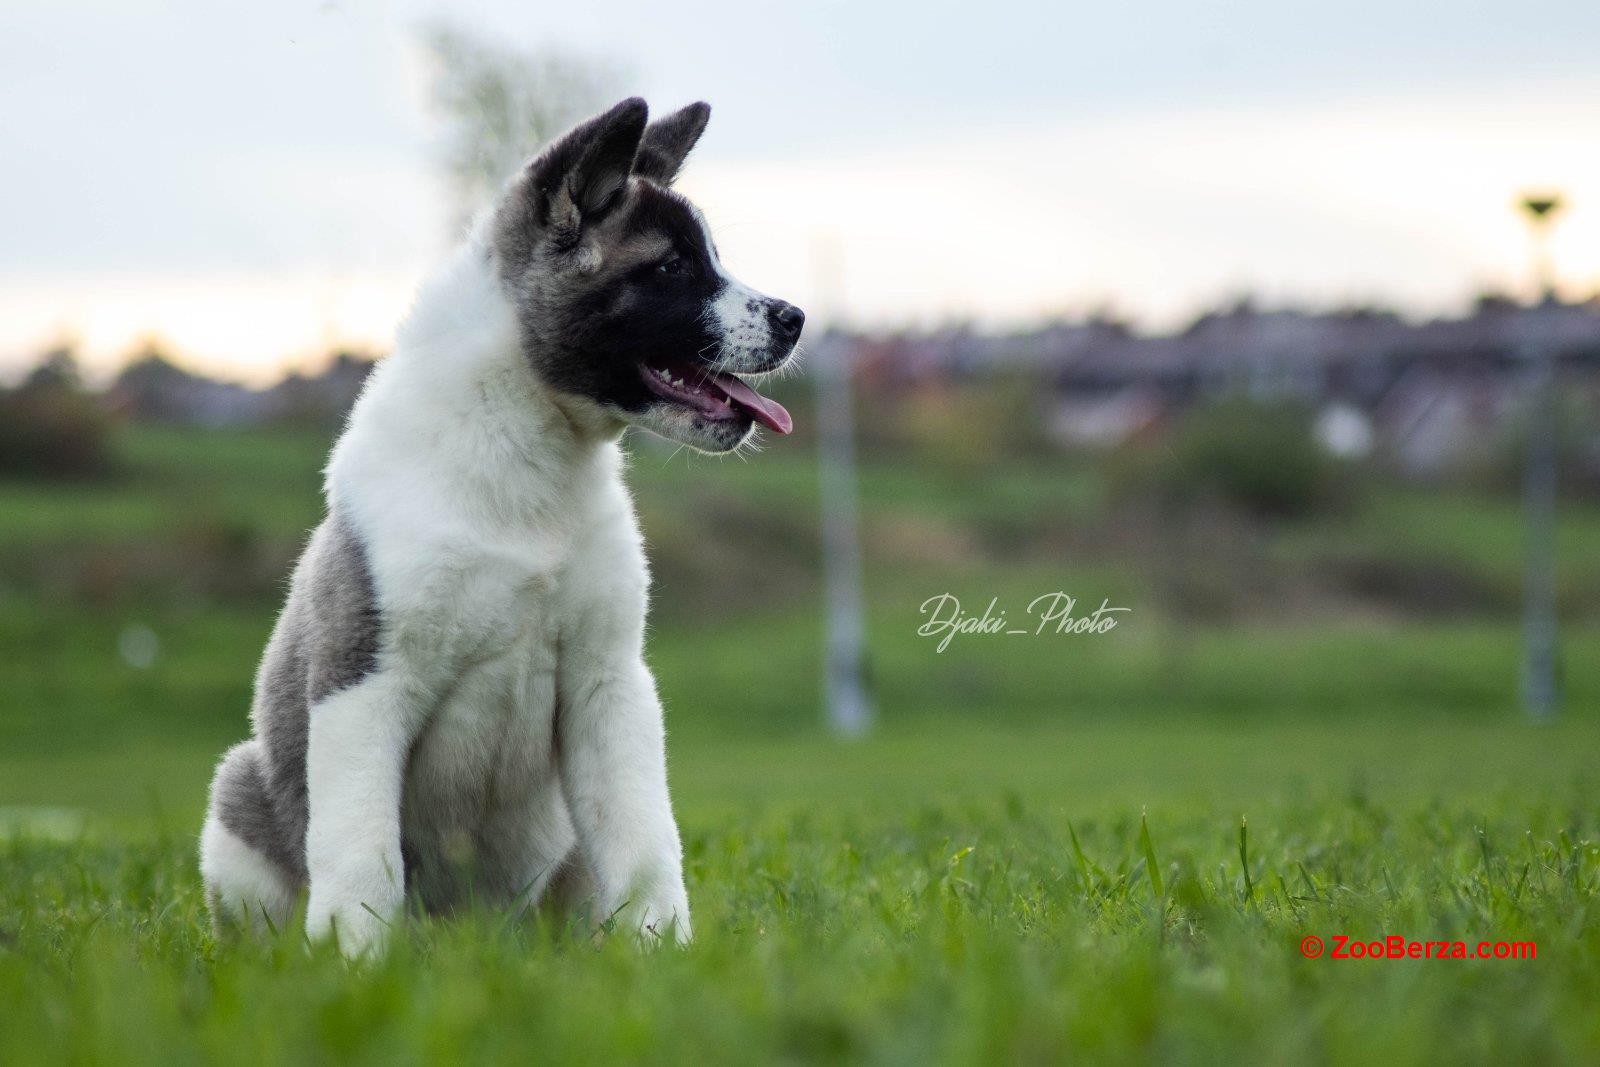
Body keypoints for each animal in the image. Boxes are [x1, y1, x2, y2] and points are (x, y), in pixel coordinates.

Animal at [200, 97, 800, 953]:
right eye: (670, 269)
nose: (795, 317)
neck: (531, 447)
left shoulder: (609, 685)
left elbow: (646, 840)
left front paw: (662, 950)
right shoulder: (363, 681)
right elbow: (362, 852)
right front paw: (355, 959)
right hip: (239, 789)